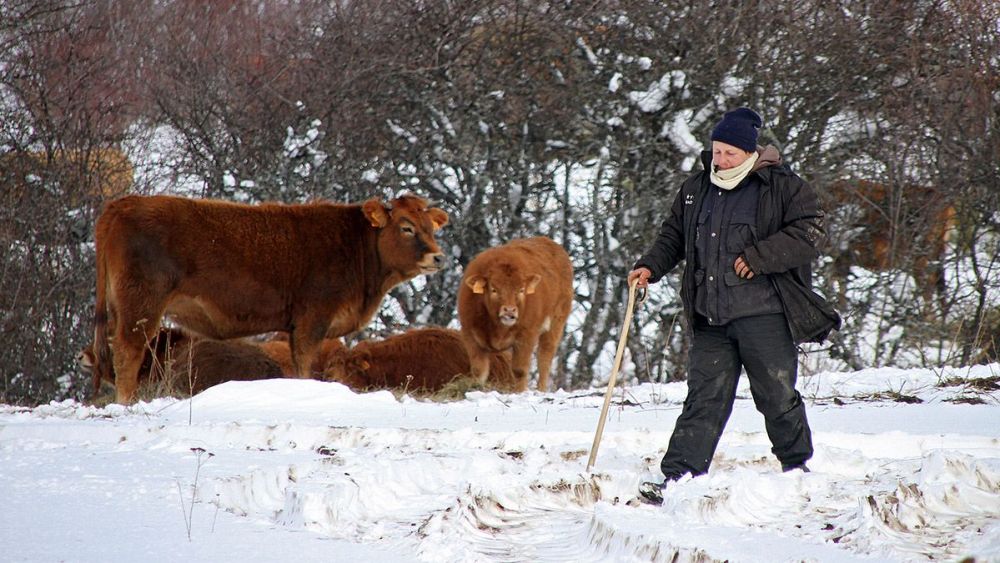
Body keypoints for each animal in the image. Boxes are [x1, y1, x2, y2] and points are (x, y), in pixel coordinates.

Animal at [92, 195, 452, 406]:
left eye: (431, 227)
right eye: (406, 227)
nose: (438, 256)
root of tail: (123, 203)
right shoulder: (312, 321)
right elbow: (305, 365)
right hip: (141, 304)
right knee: (127, 352)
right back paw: (126, 402)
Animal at [458, 237, 576, 392]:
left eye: (521, 290)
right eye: (493, 289)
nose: (509, 310)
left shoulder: (527, 336)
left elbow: (519, 370)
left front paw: (519, 392)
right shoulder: (470, 336)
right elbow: (479, 371)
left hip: (556, 324)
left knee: (545, 357)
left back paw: (541, 389)